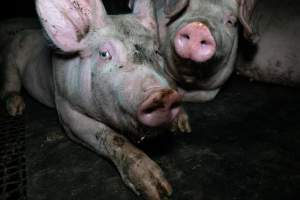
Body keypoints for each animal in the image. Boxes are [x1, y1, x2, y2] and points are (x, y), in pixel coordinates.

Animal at [0, 0, 191, 198]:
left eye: (156, 51)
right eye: (104, 54)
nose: (163, 95)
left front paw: (183, 126)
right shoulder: (66, 109)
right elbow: (111, 137)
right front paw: (159, 190)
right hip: (9, 61)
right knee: (8, 86)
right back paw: (16, 109)